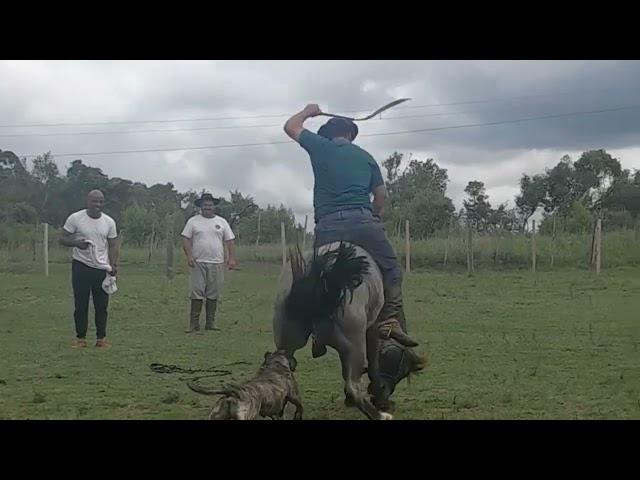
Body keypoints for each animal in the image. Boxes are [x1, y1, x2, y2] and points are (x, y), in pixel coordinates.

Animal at [272, 242, 422, 418]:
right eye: (400, 369)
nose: (384, 396)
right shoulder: (372, 333)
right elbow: (373, 367)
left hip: (289, 344)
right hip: (355, 346)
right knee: (353, 387)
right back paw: (379, 415)